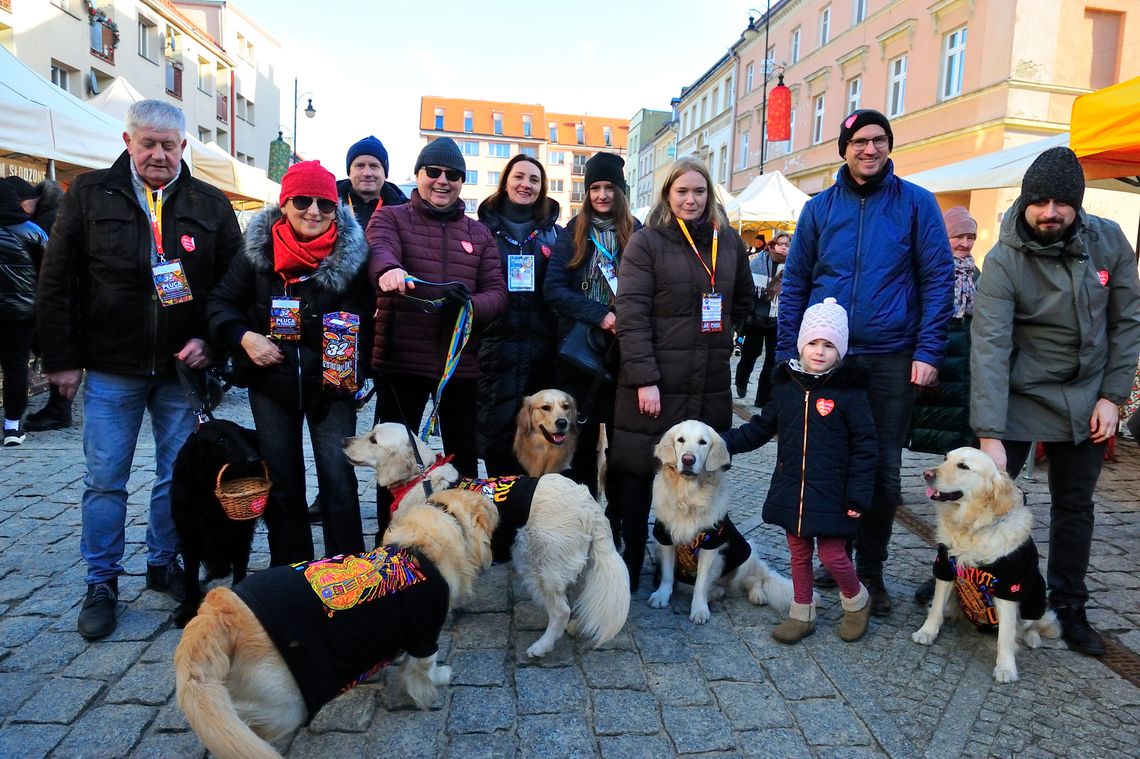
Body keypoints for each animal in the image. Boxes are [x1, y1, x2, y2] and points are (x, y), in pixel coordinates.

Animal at [169, 417, 263, 624]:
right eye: (221, 439)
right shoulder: (188, 535)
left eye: (241, 434)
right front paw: (189, 609)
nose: (255, 460)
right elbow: (190, 577)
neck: (208, 492)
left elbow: (240, 568)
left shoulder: (240, 532)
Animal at [175, 485, 497, 756]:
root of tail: (218, 609)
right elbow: (425, 670)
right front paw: (440, 678)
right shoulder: (424, 635)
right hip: (283, 704)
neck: (423, 548)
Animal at [346, 419, 633, 656]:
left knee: (560, 610)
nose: (343, 441)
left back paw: (541, 646)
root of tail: (587, 503)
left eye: (373, 439)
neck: (420, 478)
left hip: (540, 564)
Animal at [652, 419, 793, 619]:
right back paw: (716, 593)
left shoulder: (711, 545)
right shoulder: (665, 538)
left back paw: (757, 595)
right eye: (680, 440)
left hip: (744, 557)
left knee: (756, 580)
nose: (688, 459)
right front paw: (661, 595)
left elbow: (701, 584)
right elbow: (667, 575)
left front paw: (699, 609)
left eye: (703, 442)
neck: (688, 497)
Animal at [907, 446, 1057, 683]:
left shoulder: (1008, 588)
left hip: (1036, 596)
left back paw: (1032, 637)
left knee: (1031, 624)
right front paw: (927, 632)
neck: (972, 527)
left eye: (963, 466)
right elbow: (937, 608)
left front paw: (1006, 668)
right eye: (945, 458)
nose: (926, 474)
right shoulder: (945, 569)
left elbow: (1006, 636)